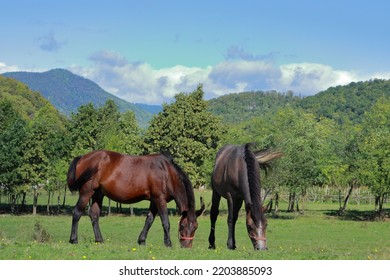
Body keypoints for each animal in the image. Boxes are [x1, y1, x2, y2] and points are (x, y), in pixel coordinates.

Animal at [66, 150, 204, 248]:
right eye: (182, 226)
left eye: (196, 227)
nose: (186, 246)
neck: (166, 172)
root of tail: (82, 157)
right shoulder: (159, 199)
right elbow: (165, 222)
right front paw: (168, 243)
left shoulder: (154, 201)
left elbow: (149, 220)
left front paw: (142, 240)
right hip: (86, 192)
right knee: (77, 212)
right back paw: (74, 240)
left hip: (98, 194)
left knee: (94, 215)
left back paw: (99, 240)